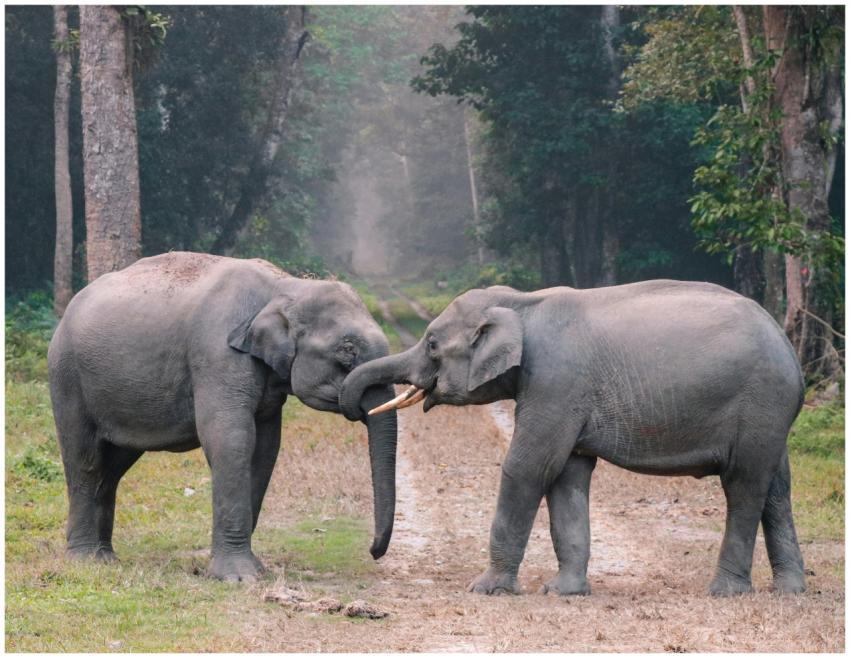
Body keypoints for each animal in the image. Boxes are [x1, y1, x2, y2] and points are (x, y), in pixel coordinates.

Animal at [47, 252, 397, 582]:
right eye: (347, 351)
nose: (373, 551)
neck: (284, 286)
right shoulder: (217, 355)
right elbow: (231, 439)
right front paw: (238, 577)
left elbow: (266, 448)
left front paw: (253, 569)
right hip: (67, 377)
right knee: (86, 460)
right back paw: (86, 560)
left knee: (113, 467)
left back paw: (106, 558)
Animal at [340, 280, 807, 597]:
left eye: (433, 344)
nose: (374, 554)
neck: (522, 303)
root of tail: (791, 351)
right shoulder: (563, 394)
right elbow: (567, 474)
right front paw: (562, 592)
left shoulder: (556, 382)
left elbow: (529, 466)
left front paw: (486, 590)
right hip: (771, 415)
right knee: (776, 488)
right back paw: (790, 590)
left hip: (761, 402)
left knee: (744, 486)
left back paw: (725, 592)